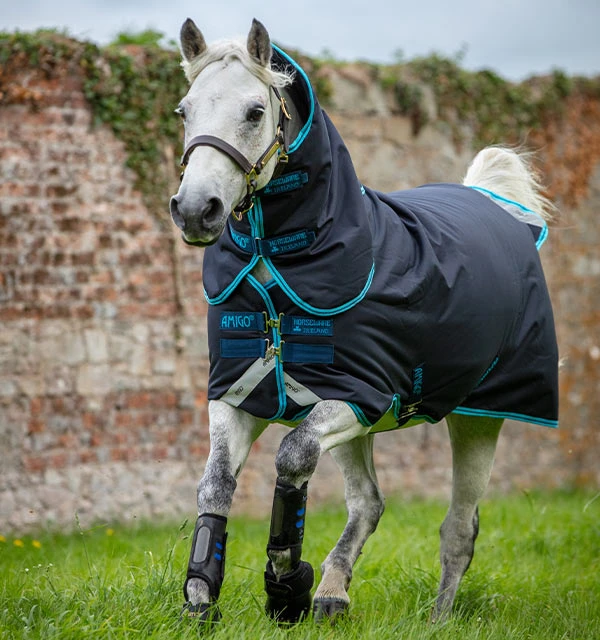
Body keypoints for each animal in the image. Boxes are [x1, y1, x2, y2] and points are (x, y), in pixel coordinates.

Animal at [169, 18, 559, 624]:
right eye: (185, 110)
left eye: (255, 111)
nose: (194, 210)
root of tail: (492, 202)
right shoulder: (239, 393)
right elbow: (215, 486)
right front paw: (202, 597)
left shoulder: (359, 395)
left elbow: (292, 457)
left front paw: (285, 585)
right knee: (368, 503)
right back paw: (333, 593)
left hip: (479, 417)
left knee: (459, 529)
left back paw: (436, 618)